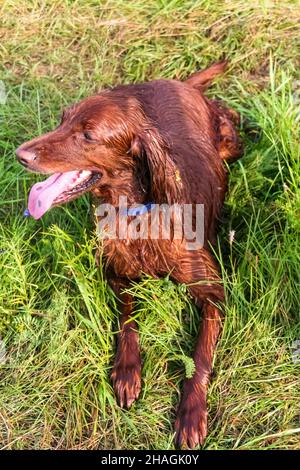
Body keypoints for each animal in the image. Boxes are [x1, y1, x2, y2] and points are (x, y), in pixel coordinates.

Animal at [15, 62, 241, 448]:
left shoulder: (214, 293)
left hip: (231, 141)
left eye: (88, 135)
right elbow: (127, 318)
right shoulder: (115, 272)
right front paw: (126, 372)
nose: (20, 154)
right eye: (62, 120)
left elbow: (200, 356)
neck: (137, 215)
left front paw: (191, 413)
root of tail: (181, 84)